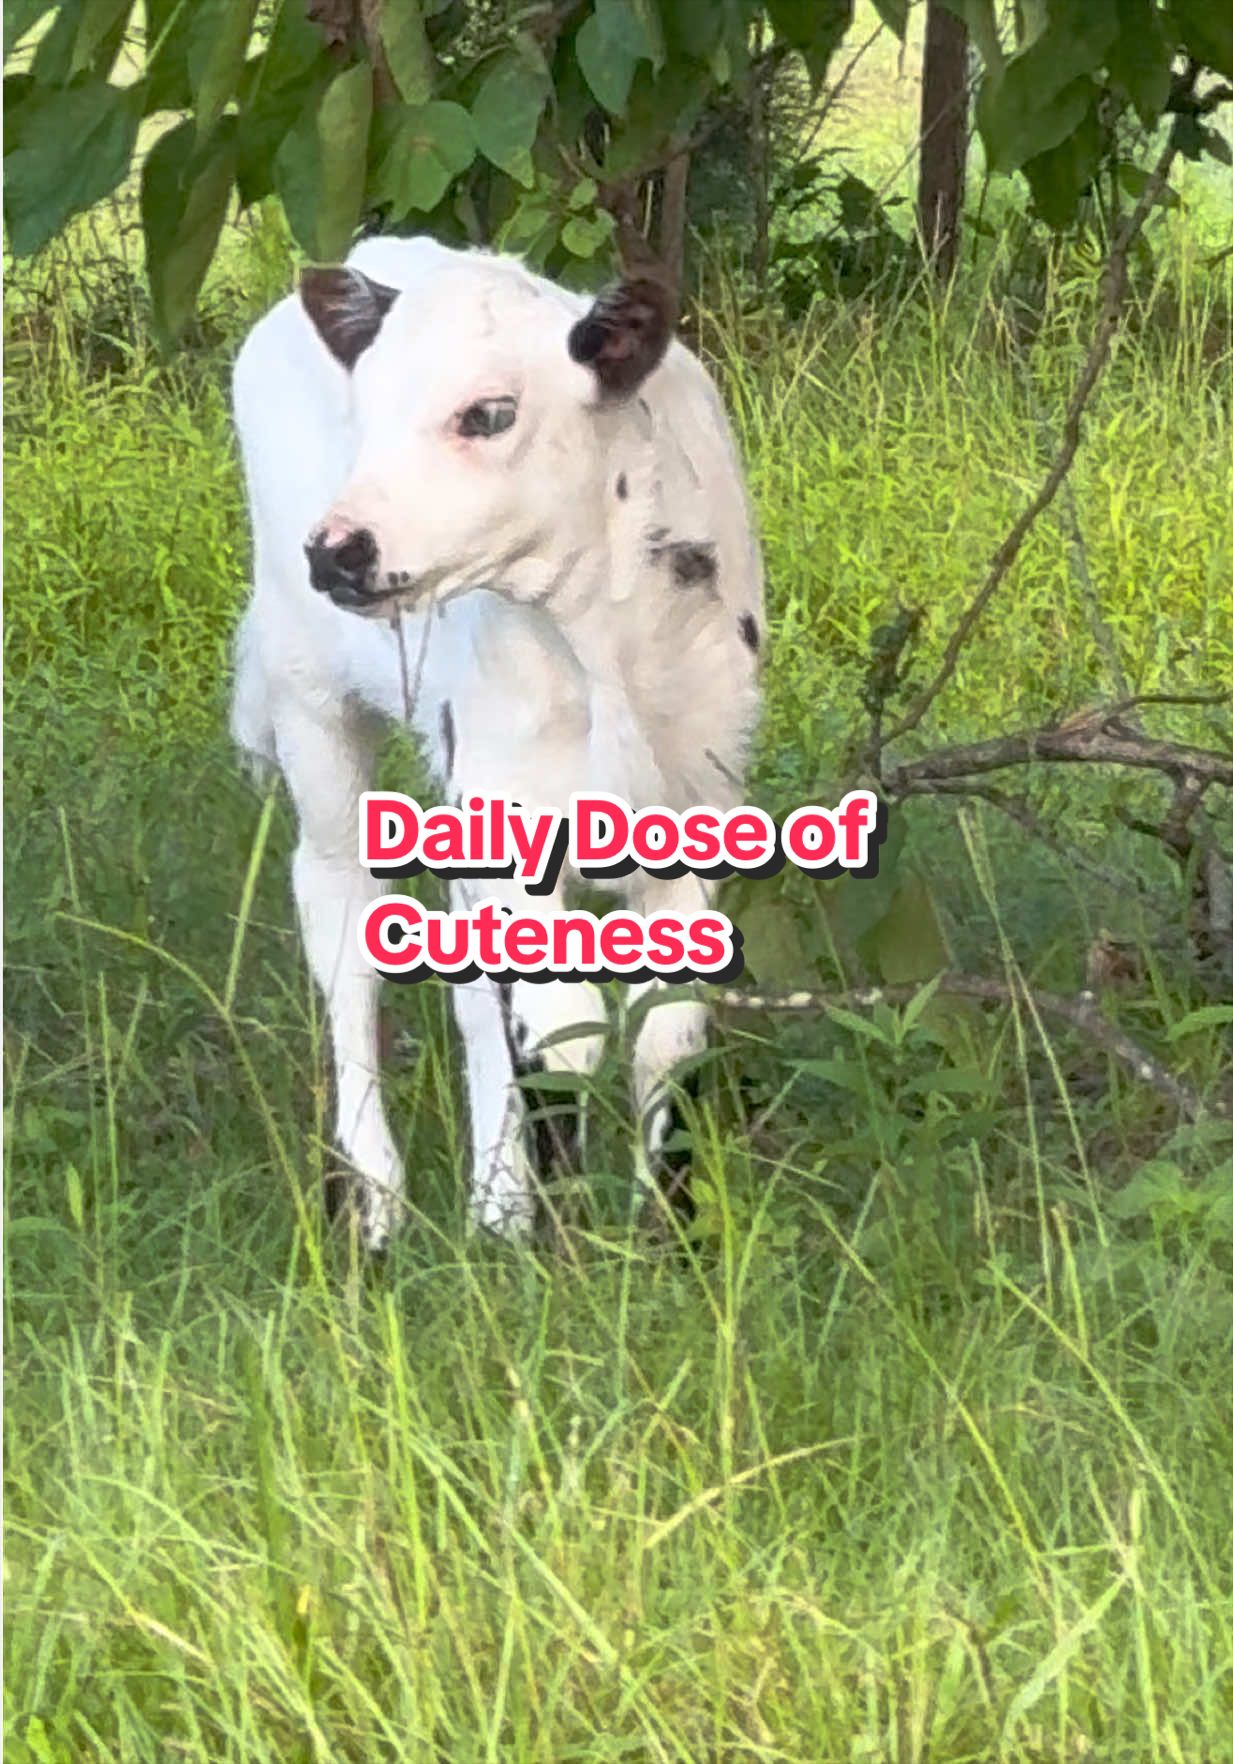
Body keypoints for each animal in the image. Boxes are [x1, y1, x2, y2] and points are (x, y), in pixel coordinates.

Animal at [229, 234, 763, 1249]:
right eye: (363, 415)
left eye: (489, 414)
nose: (338, 550)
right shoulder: (515, 811)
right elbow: (563, 1024)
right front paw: (569, 1248)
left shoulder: (695, 809)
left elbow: (669, 1022)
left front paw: (666, 1232)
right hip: (308, 694)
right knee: (341, 915)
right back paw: (378, 1207)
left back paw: (494, 1202)